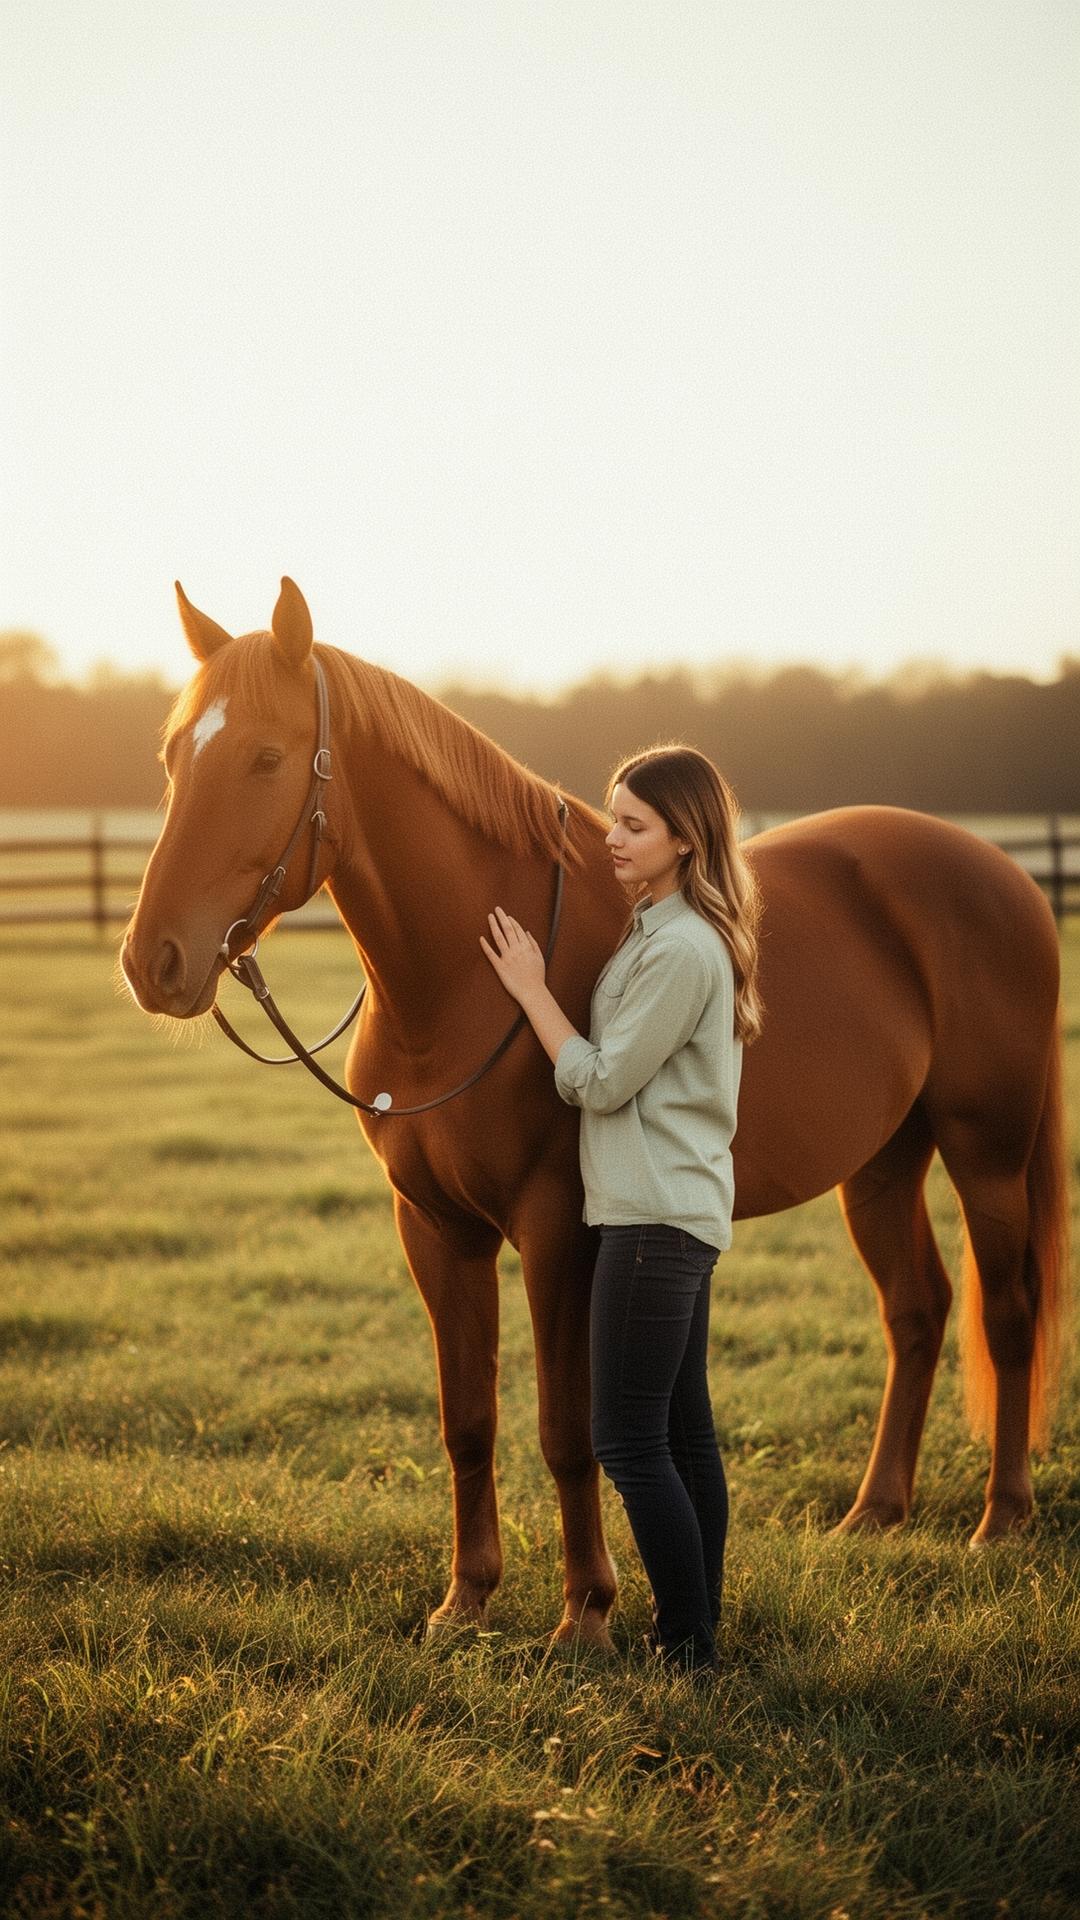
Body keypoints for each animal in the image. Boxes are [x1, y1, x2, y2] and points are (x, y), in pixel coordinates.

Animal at [121, 578, 1068, 1649]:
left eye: (267, 757)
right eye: (172, 756)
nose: (153, 960)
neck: (457, 987)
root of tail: (1003, 872)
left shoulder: (559, 1229)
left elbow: (567, 1428)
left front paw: (585, 1613)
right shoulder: (433, 1227)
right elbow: (468, 1421)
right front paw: (466, 1600)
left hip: (987, 1151)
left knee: (1007, 1311)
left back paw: (1000, 1520)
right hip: (880, 1164)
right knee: (917, 1311)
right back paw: (875, 1513)